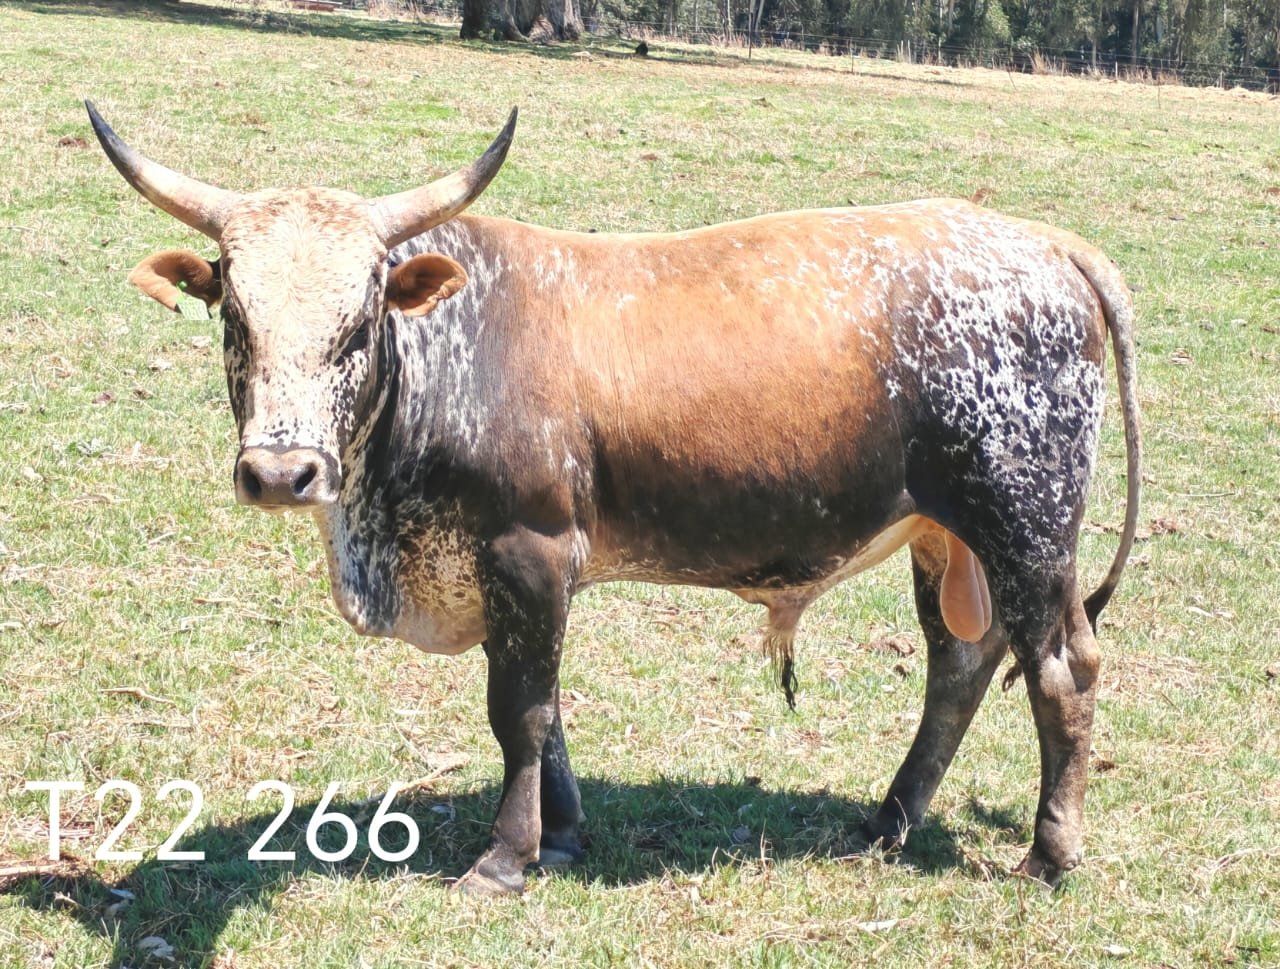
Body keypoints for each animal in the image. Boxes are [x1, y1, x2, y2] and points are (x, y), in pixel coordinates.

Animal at [87, 101, 1141, 896]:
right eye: (235, 316)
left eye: (358, 324)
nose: (280, 474)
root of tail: (1047, 241)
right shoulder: (519, 576)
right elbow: (543, 707)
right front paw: (559, 834)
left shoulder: (530, 548)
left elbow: (517, 709)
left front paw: (505, 858)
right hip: (944, 534)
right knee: (961, 663)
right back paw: (889, 819)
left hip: (1025, 523)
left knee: (1062, 669)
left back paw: (1048, 852)